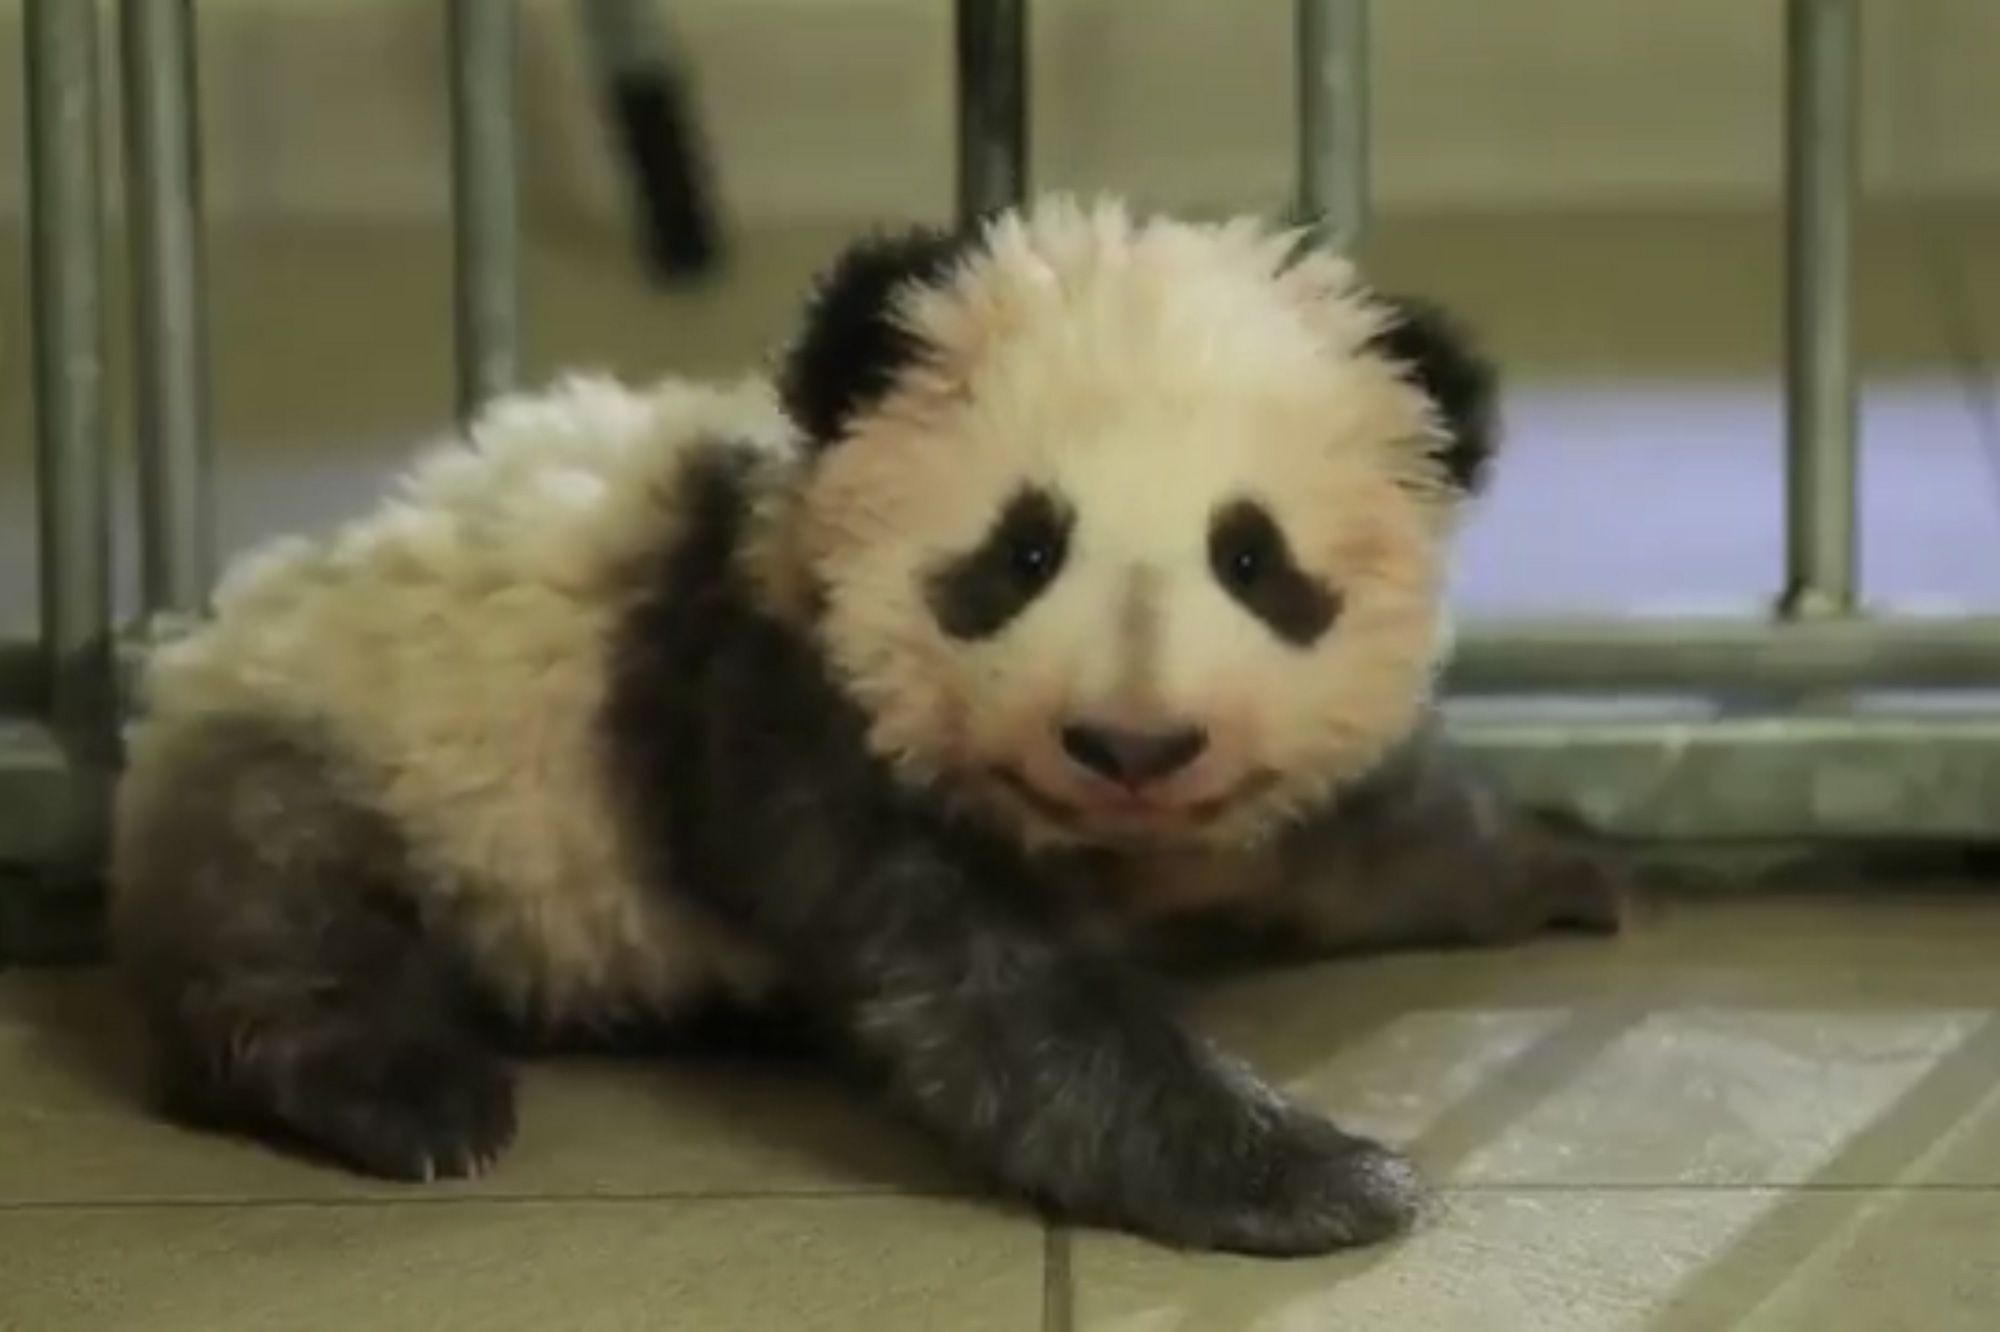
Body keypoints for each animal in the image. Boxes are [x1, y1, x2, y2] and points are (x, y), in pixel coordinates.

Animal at [110, 195, 1624, 1258]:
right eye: (1022, 551)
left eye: (1252, 560)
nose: (1130, 745)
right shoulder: (778, 701)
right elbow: (988, 996)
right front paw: (1319, 1176)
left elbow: (1356, 842)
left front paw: (1560, 861)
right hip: (345, 739)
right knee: (280, 920)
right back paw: (412, 1094)